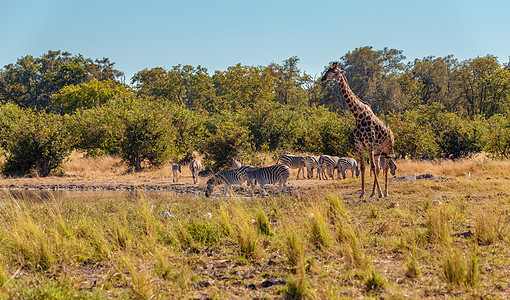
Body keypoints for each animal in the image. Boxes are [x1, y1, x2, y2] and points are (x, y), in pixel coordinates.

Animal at [320, 61, 396, 197]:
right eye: (327, 70)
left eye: (333, 71)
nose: (323, 78)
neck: (358, 116)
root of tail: (392, 133)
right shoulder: (359, 145)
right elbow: (363, 167)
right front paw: (363, 192)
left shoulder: (369, 144)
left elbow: (371, 167)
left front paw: (380, 193)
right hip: (377, 151)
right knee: (378, 167)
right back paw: (373, 193)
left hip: (388, 148)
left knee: (386, 167)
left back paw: (386, 192)